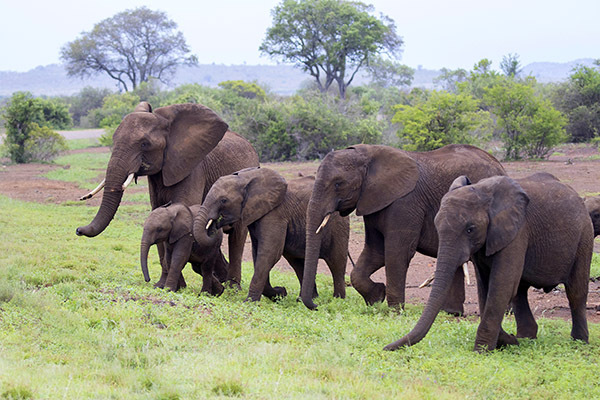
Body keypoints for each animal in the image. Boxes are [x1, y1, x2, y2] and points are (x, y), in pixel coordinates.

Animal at [76, 101, 258, 290]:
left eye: (144, 144)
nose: (78, 230)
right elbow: (158, 213)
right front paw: (163, 285)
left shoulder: (192, 168)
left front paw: (173, 286)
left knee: (237, 235)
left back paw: (233, 288)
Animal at [192, 167, 352, 302]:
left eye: (223, 200)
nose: (215, 224)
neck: (246, 179)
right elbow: (258, 253)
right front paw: (280, 293)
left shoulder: (275, 213)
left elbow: (269, 253)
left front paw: (249, 302)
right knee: (298, 262)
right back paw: (306, 299)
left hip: (338, 224)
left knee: (336, 262)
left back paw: (338, 300)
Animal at [300, 144, 506, 312]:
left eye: (338, 184)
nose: (316, 305)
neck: (367, 155)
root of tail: (500, 166)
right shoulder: (374, 200)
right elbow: (375, 251)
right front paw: (376, 298)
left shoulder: (405, 203)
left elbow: (397, 252)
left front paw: (395, 311)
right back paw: (450, 313)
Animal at [386, 173, 592, 352]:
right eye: (436, 225)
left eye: (470, 229)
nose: (386, 348)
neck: (483, 192)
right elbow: (485, 287)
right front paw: (508, 341)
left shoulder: (517, 231)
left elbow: (501, 284)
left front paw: (482, 351)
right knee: (520, 293)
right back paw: (526, 338)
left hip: (584, 237)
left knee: (576, 292)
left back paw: (579, 342)